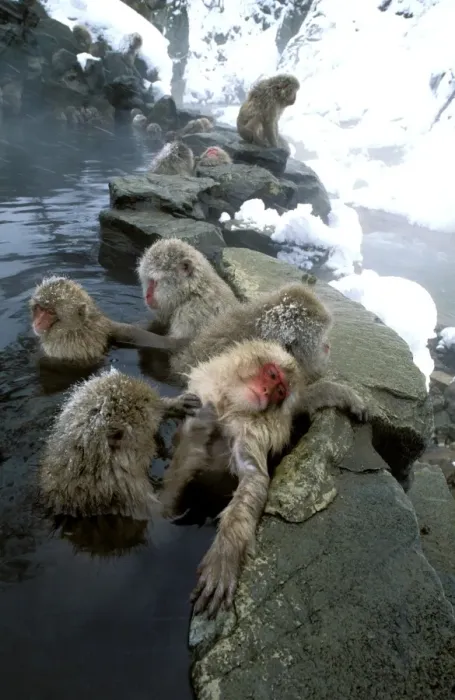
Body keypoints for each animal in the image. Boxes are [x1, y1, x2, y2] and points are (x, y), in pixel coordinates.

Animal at [162, 339, 368, 616]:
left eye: (279, 391)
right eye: (271, 375)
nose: (267, 390)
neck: (231, 406)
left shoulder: (253, 431)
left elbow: (254, 478)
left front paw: (226, 554)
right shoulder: (205, 392)